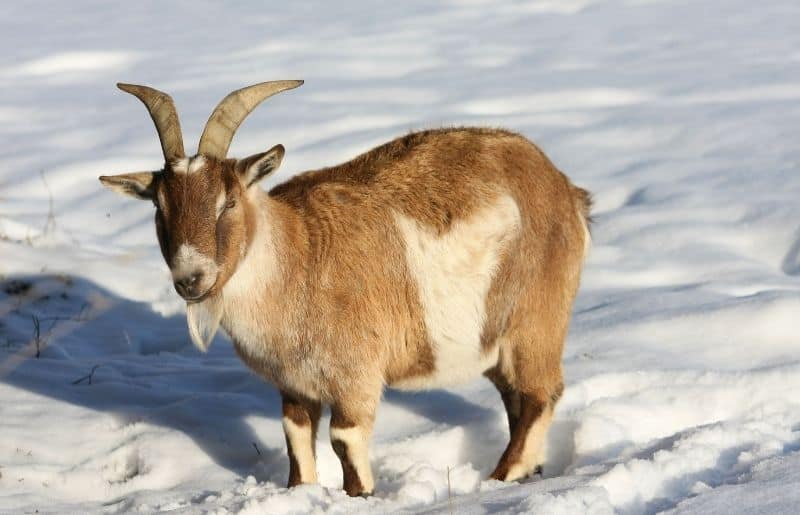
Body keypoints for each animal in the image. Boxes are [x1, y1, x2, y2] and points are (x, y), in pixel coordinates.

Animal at [99, 80, 591, 496]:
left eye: (229, 201)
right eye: (159, 207)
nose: (191, 279)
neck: (297, 255)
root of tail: (567, 190)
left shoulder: (357, 376)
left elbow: (345, 441)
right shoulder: (294, 385)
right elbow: (297, 440)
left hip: (536, 319)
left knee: (541, 394)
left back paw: (502, 477)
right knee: (516, 397)